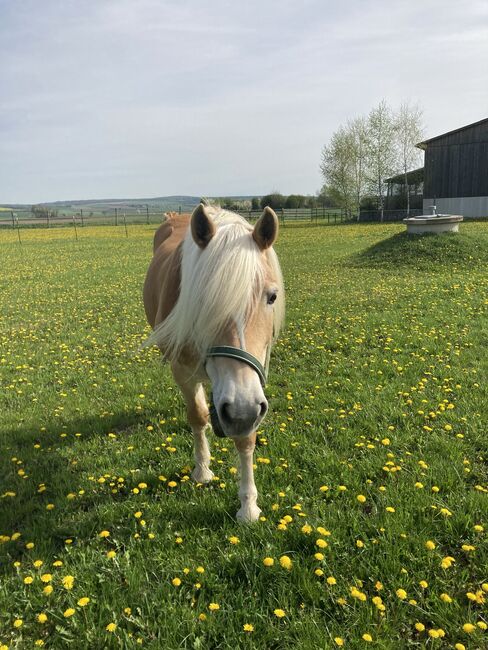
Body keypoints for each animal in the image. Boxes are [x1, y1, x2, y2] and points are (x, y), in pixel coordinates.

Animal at [143, 202, 284, 520]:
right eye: (201, 300)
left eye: (272, 297)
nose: (242, 411)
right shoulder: (183, 371)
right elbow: (196, 415)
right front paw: (202, 471)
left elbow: (245, 438)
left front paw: (248, 505)